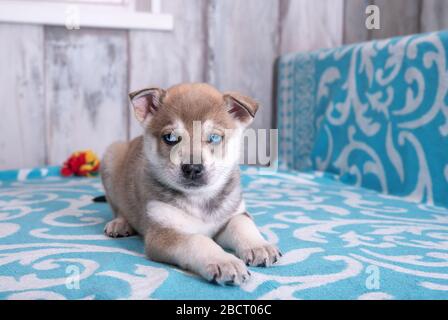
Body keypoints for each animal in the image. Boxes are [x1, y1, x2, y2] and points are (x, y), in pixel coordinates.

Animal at [101, 83, 280, 284]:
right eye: (170, 138)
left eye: (215, 138)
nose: (193, 168)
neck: (200, 199)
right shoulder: (162, 234)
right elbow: (198, 241)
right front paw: (224, 260)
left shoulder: (232, 214)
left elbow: (242, 224)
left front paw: (259, 246)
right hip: (111, 156)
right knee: (119, 207)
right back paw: (120, 223)